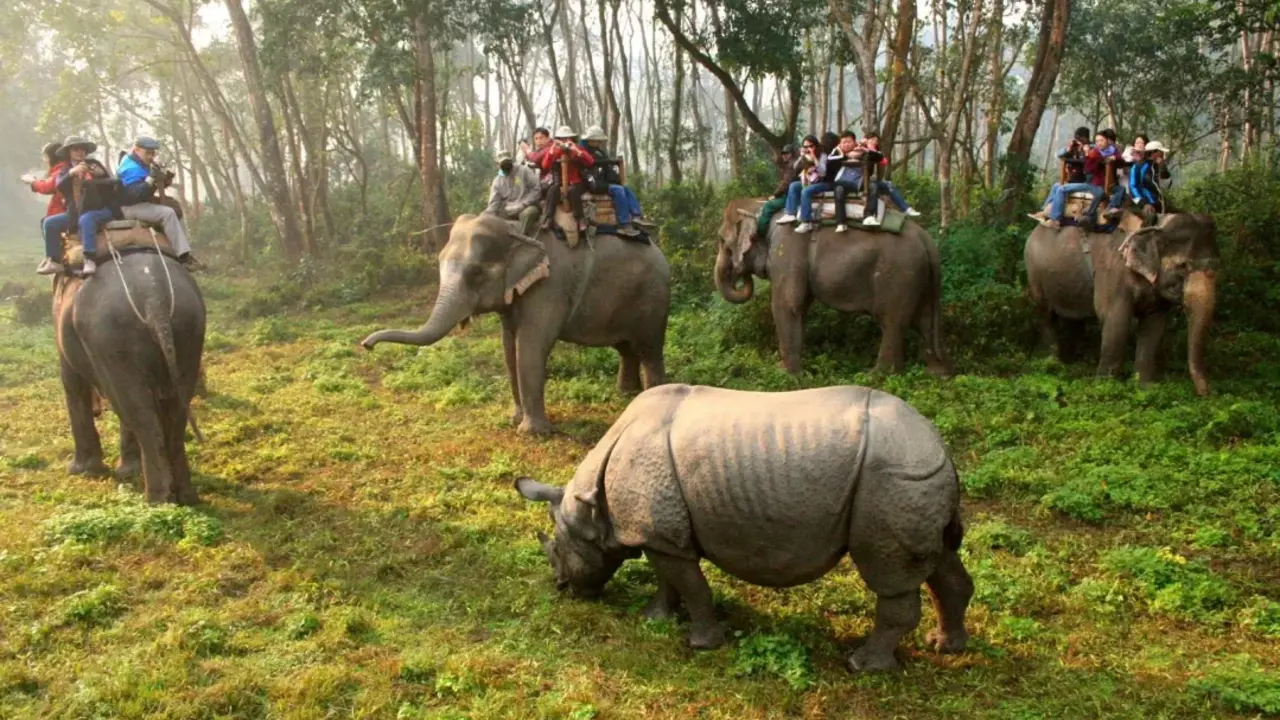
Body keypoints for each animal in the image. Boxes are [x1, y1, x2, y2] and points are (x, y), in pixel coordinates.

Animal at [54, 248, 206, 504]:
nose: (98, 410)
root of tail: (154, 297)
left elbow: (73, 384)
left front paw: (81, 471)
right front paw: (129, 470)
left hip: (112, 338)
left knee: (136, 410)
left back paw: (157, 500)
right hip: (189, 329)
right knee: (175, 407)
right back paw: (185, 496)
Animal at [361, 213, 670, 435]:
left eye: (475, 273)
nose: (366, 345)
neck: (517, 230)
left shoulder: (549, 286)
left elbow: (530, 346)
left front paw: (533, 433)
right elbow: (509, 347)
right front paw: (515, 419)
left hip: (653, 298)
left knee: (649, 348)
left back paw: (651, 396)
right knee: (626, 348)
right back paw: (626, 394)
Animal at [516, 383, 973, 673]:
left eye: (558, 550)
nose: (561, 587)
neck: (592, 506)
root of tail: (939, 445)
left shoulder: (659, 531)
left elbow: (693, 587)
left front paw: (701, 644)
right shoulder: (661, 533)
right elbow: (670, 579)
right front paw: (655, 618)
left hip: (893, 479)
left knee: (888, 574)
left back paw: (863, 666)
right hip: (914, 478)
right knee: (940, 561)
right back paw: (945, 646)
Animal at [715, 198, 951, 377]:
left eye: (721, 240)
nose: (739, 273)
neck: (761, 207)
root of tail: (926, 240)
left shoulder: (787, 251)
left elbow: (787, 305)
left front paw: (786, 375)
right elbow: (800, 307)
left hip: (898, 274)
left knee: (892, 322)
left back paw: (875, 377)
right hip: (920, 277)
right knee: (924, 320)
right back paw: (938, 374)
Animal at [1024, 213, 1219, 395]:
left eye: (1217, 265)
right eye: (1183, 266)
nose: (1205, 394)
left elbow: (1154, 326)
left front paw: (1146, 388)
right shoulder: (1113, 272)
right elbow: (1116, 321)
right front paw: (1104, 388)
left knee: (1075, 320)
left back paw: (1073, 365)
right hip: (1034, 274)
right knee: (1046, 315)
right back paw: (1054, 365)